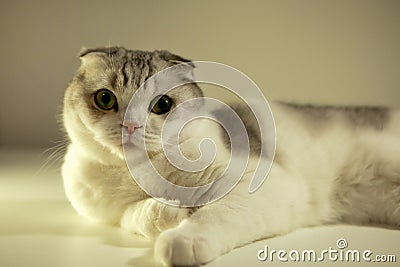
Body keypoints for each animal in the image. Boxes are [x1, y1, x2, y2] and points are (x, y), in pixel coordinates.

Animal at [60, 47, 400, 266]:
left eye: (162, 104)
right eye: (105, 99)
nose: (130, 126)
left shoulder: (261, 183)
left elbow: (214, 214)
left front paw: (183, 237)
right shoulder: (107, 213)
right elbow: (135, 215)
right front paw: (172, 212)